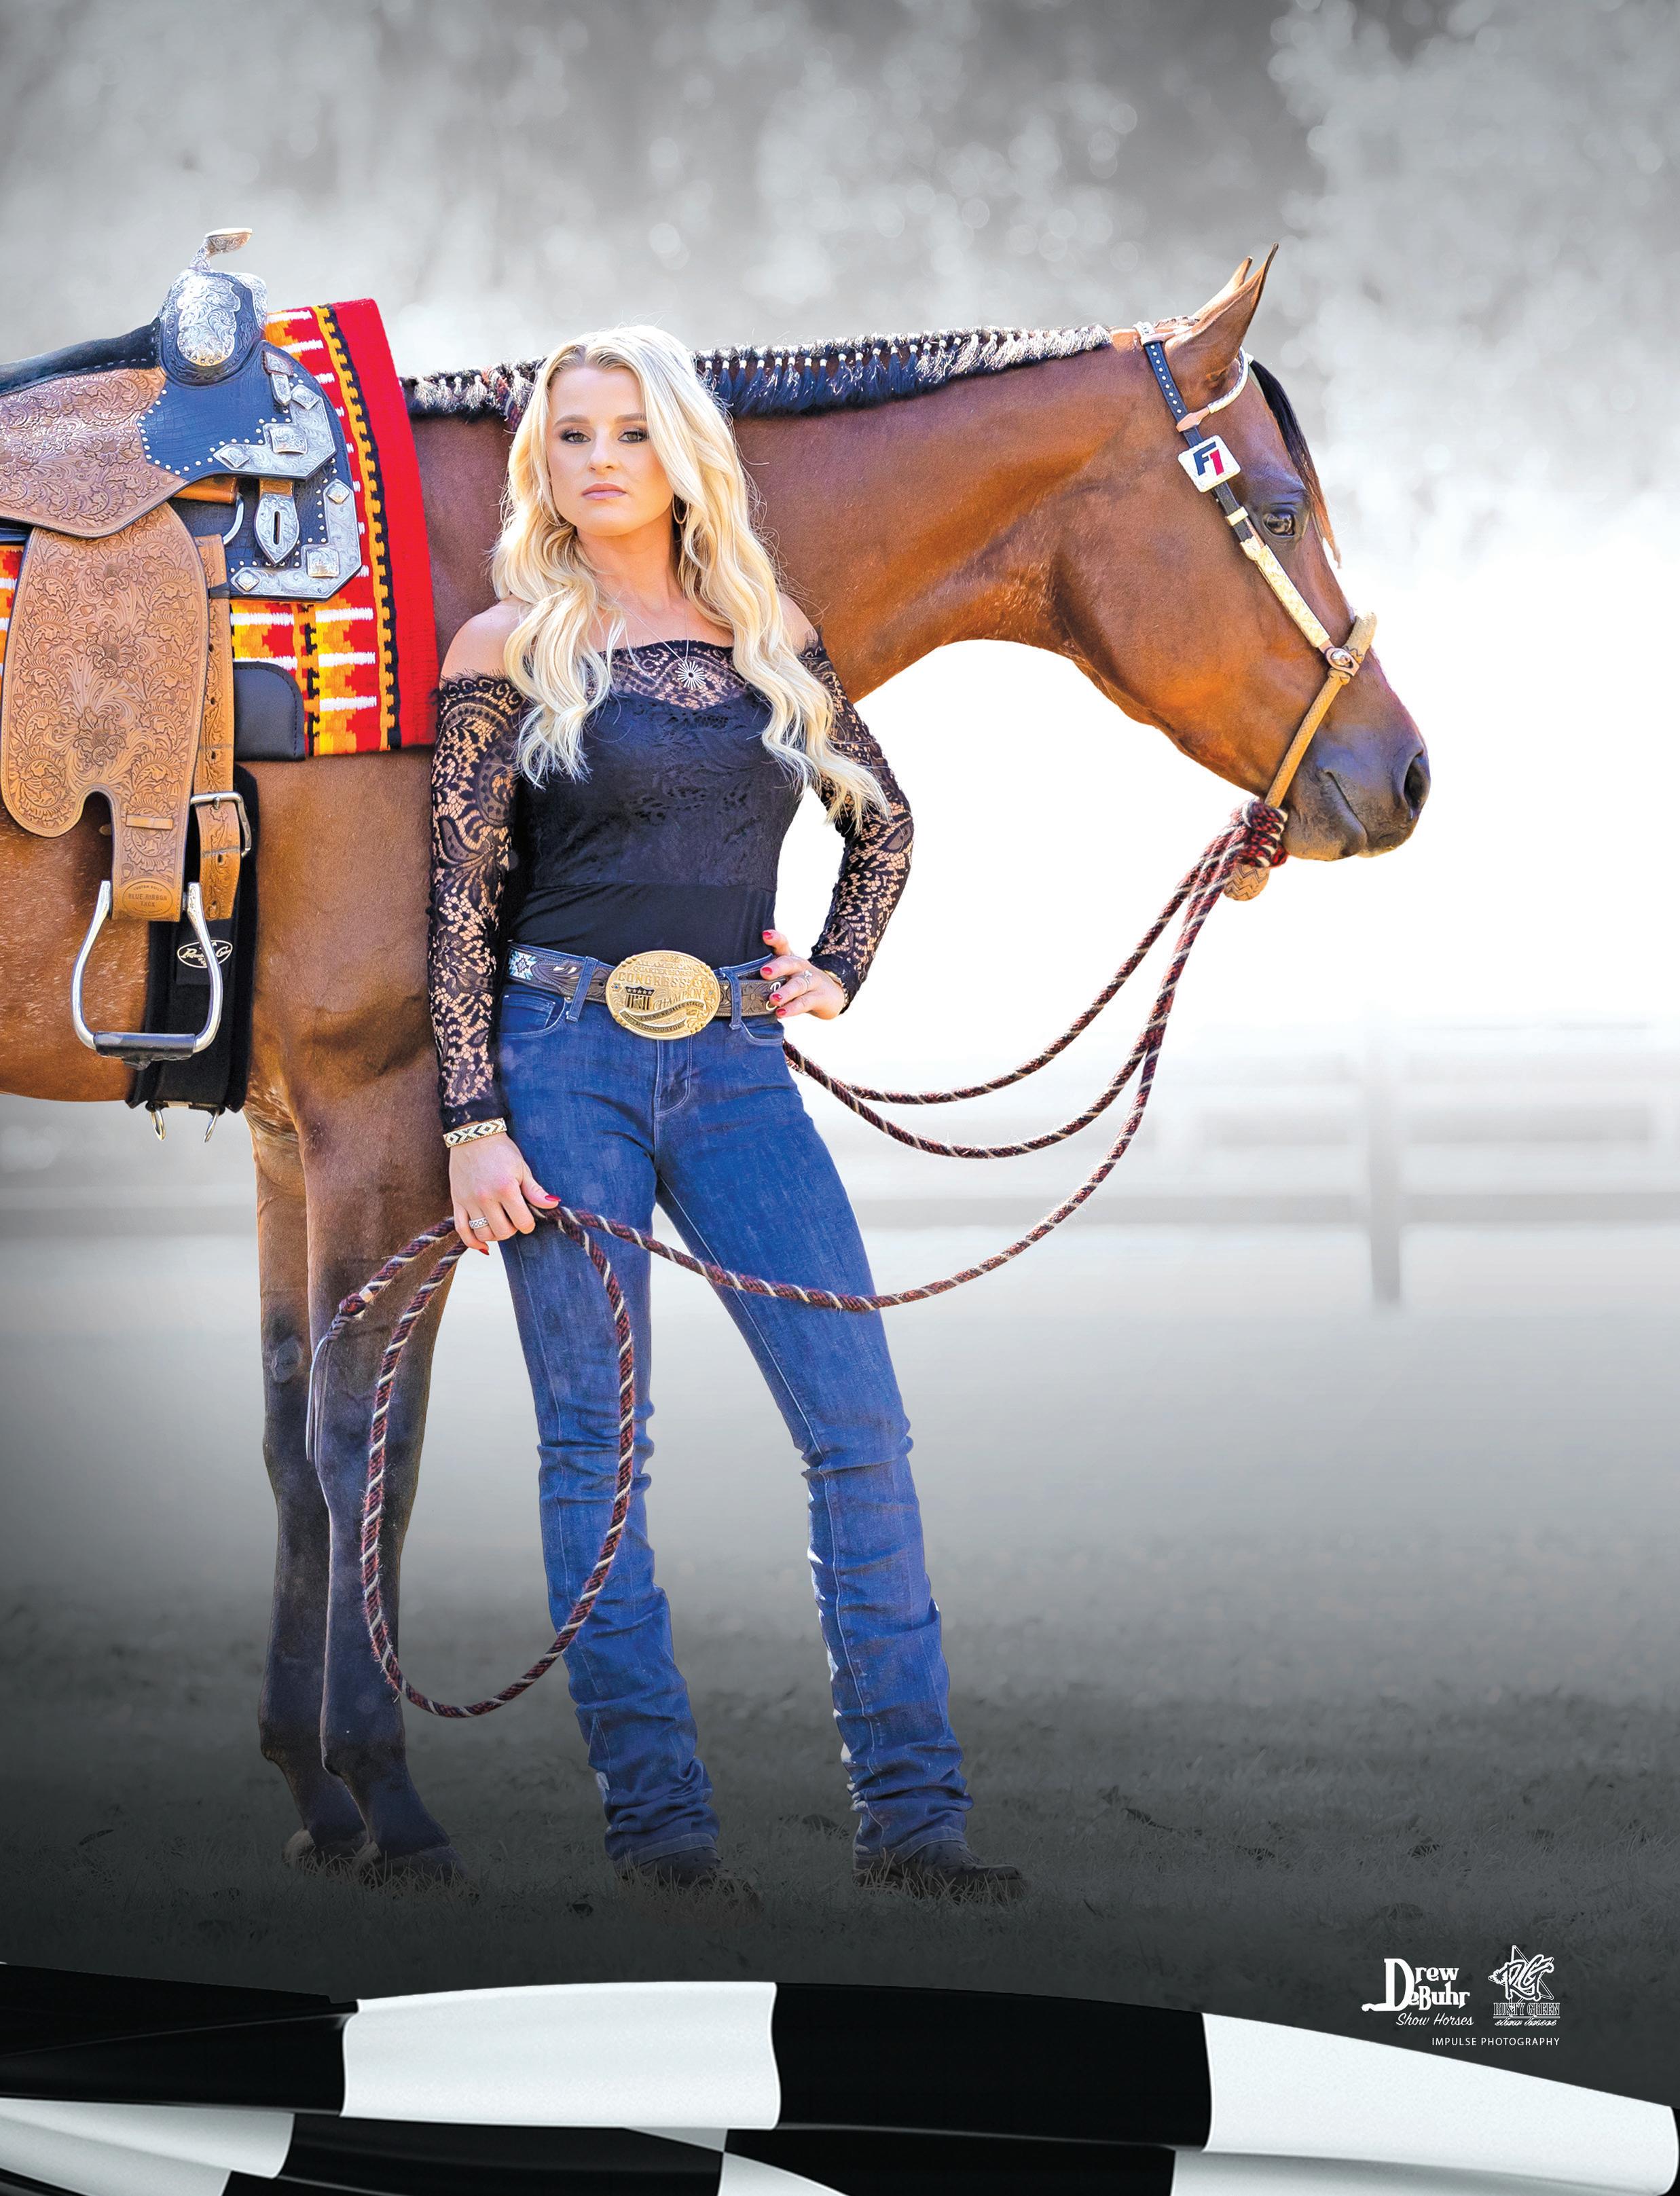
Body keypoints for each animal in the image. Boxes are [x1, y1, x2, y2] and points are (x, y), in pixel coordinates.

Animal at [0, 254, 1426, 1880]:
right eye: (1281, 508)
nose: (1400, 771)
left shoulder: (293, 1129)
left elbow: (296, 1440)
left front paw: (315, 1792)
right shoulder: (386, 1113)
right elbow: (372, 1439)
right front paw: (388, 1798)